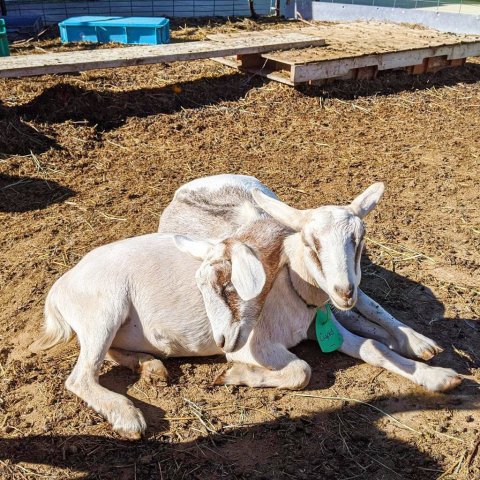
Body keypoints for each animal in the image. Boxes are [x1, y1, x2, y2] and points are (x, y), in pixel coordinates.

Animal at [34, 225, 288, 438]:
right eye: (226, 286)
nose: (222, 340)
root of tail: (59, 287)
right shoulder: (251, 343)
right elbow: (296, 373)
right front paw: (232, 375)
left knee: (108, 353)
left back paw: (150, 367)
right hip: (103, 311)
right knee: (80, 377)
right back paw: (129, 419)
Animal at [158, 174, 462, 392]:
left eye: (359, 239)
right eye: (311, 243)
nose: (343, 291)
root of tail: (187, 187)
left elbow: (370, 346)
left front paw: (439, 376)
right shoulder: (257, 346)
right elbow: (303, 370)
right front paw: (232, 374)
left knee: (367, 303)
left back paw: (417, 342)